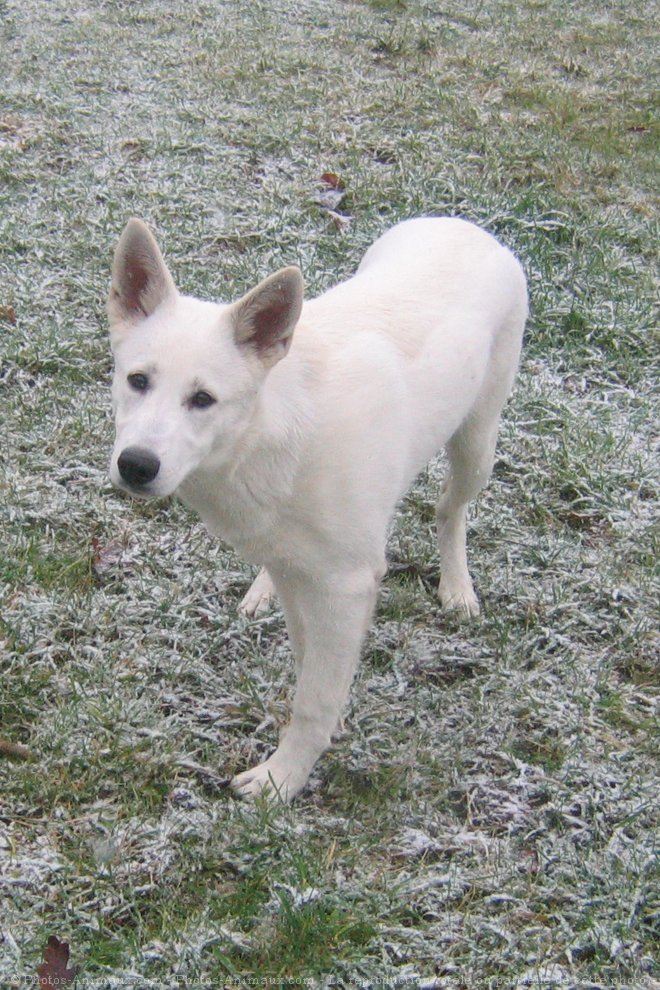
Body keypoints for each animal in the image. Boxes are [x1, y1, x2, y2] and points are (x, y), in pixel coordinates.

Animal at [111, 219, 528, 808]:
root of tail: (464, 224)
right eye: (138, 381)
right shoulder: (300, 571)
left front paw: (280, 780)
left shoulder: (346, 584)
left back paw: (457, 587)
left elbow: (314, 696)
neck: (274, 429)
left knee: (451, 508)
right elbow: (311, 664)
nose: (136, 465)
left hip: (477, 445)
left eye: (203, 399)